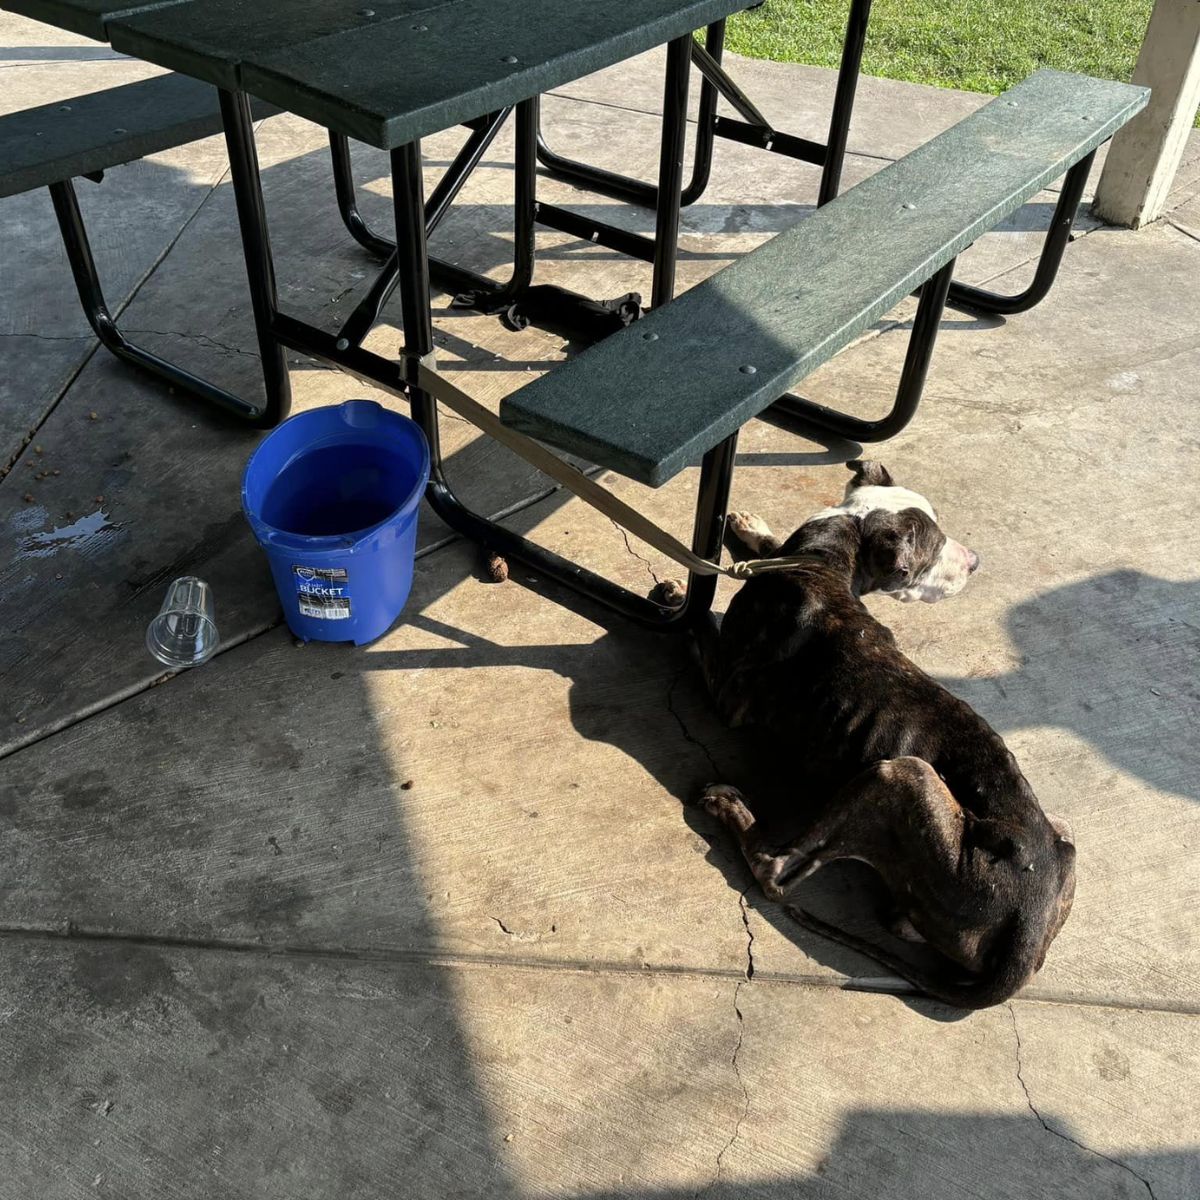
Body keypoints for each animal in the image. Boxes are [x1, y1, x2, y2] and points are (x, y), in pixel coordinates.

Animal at [662, 463, 1075, 1008]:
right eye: (928, 555)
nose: (976, 561)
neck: (821, 561)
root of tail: (1026, 929)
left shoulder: (728, 692)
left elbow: (701, 626)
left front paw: (677, 600)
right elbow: (767, 550)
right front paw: (752, 528)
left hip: (898, 775)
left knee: (775, 871)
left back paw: (729, 806)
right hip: (1062, 835)